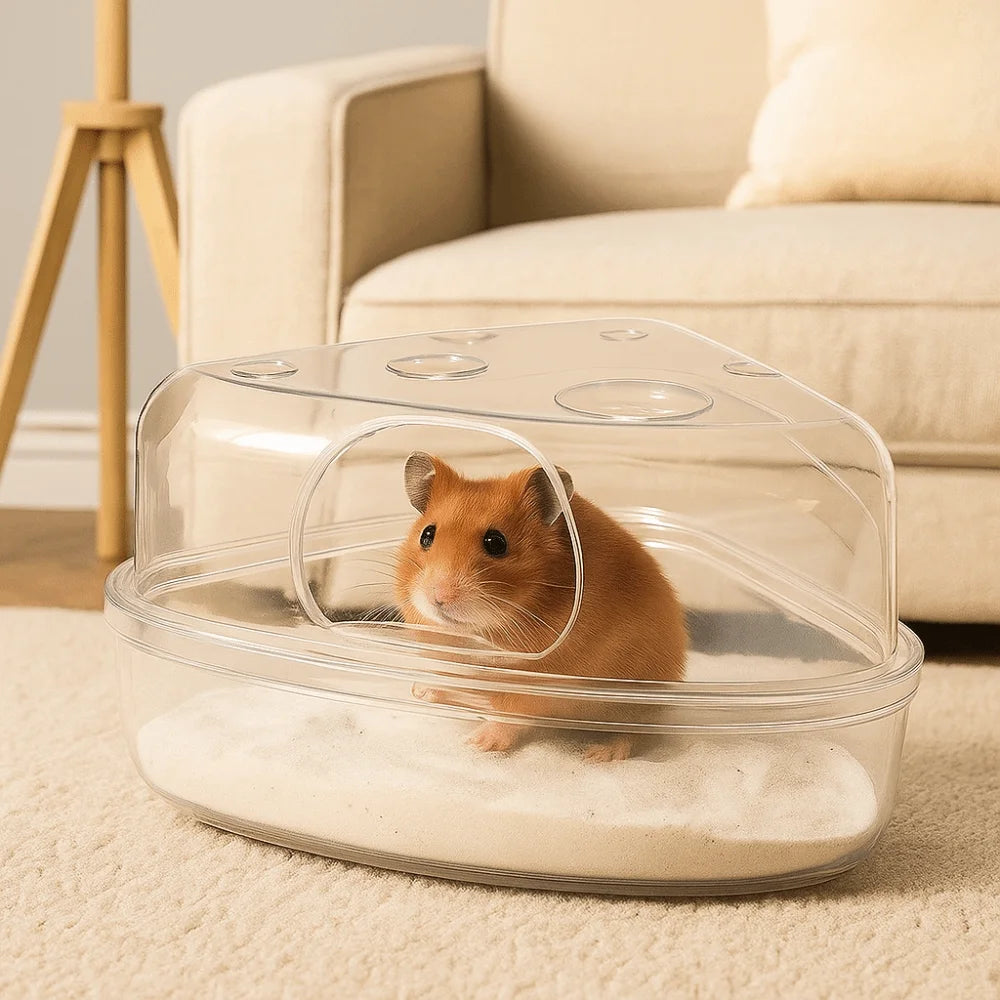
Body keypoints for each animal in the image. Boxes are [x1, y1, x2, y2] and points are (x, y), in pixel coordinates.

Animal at [394, 452, 686, 762]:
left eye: (496, 543)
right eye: (427, 535)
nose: (438, 597)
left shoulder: (535, 687)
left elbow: (508, 717)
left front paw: (477, 744)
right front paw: (419, 690)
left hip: (636, 701)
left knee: (634, 735)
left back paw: (598, 754)